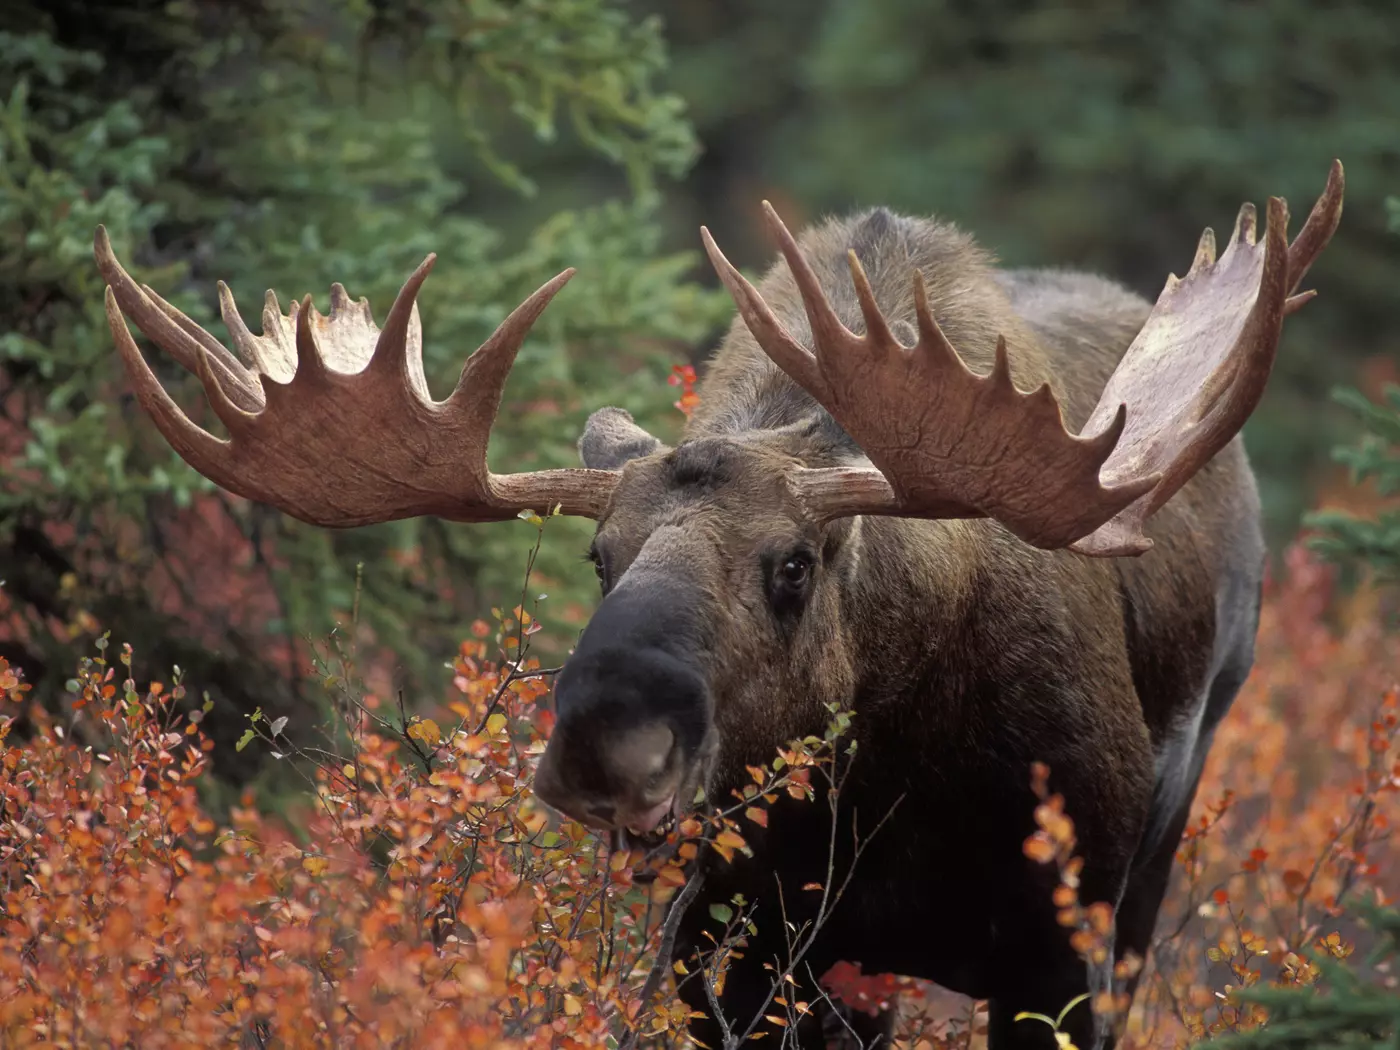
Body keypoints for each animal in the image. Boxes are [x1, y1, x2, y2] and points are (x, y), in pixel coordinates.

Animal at [93, 161, 1342, 1049]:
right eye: (597, 555)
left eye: (792, 563)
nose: (606, 743)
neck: (885, 780)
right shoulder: (733, 946)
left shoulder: (1061, 943)